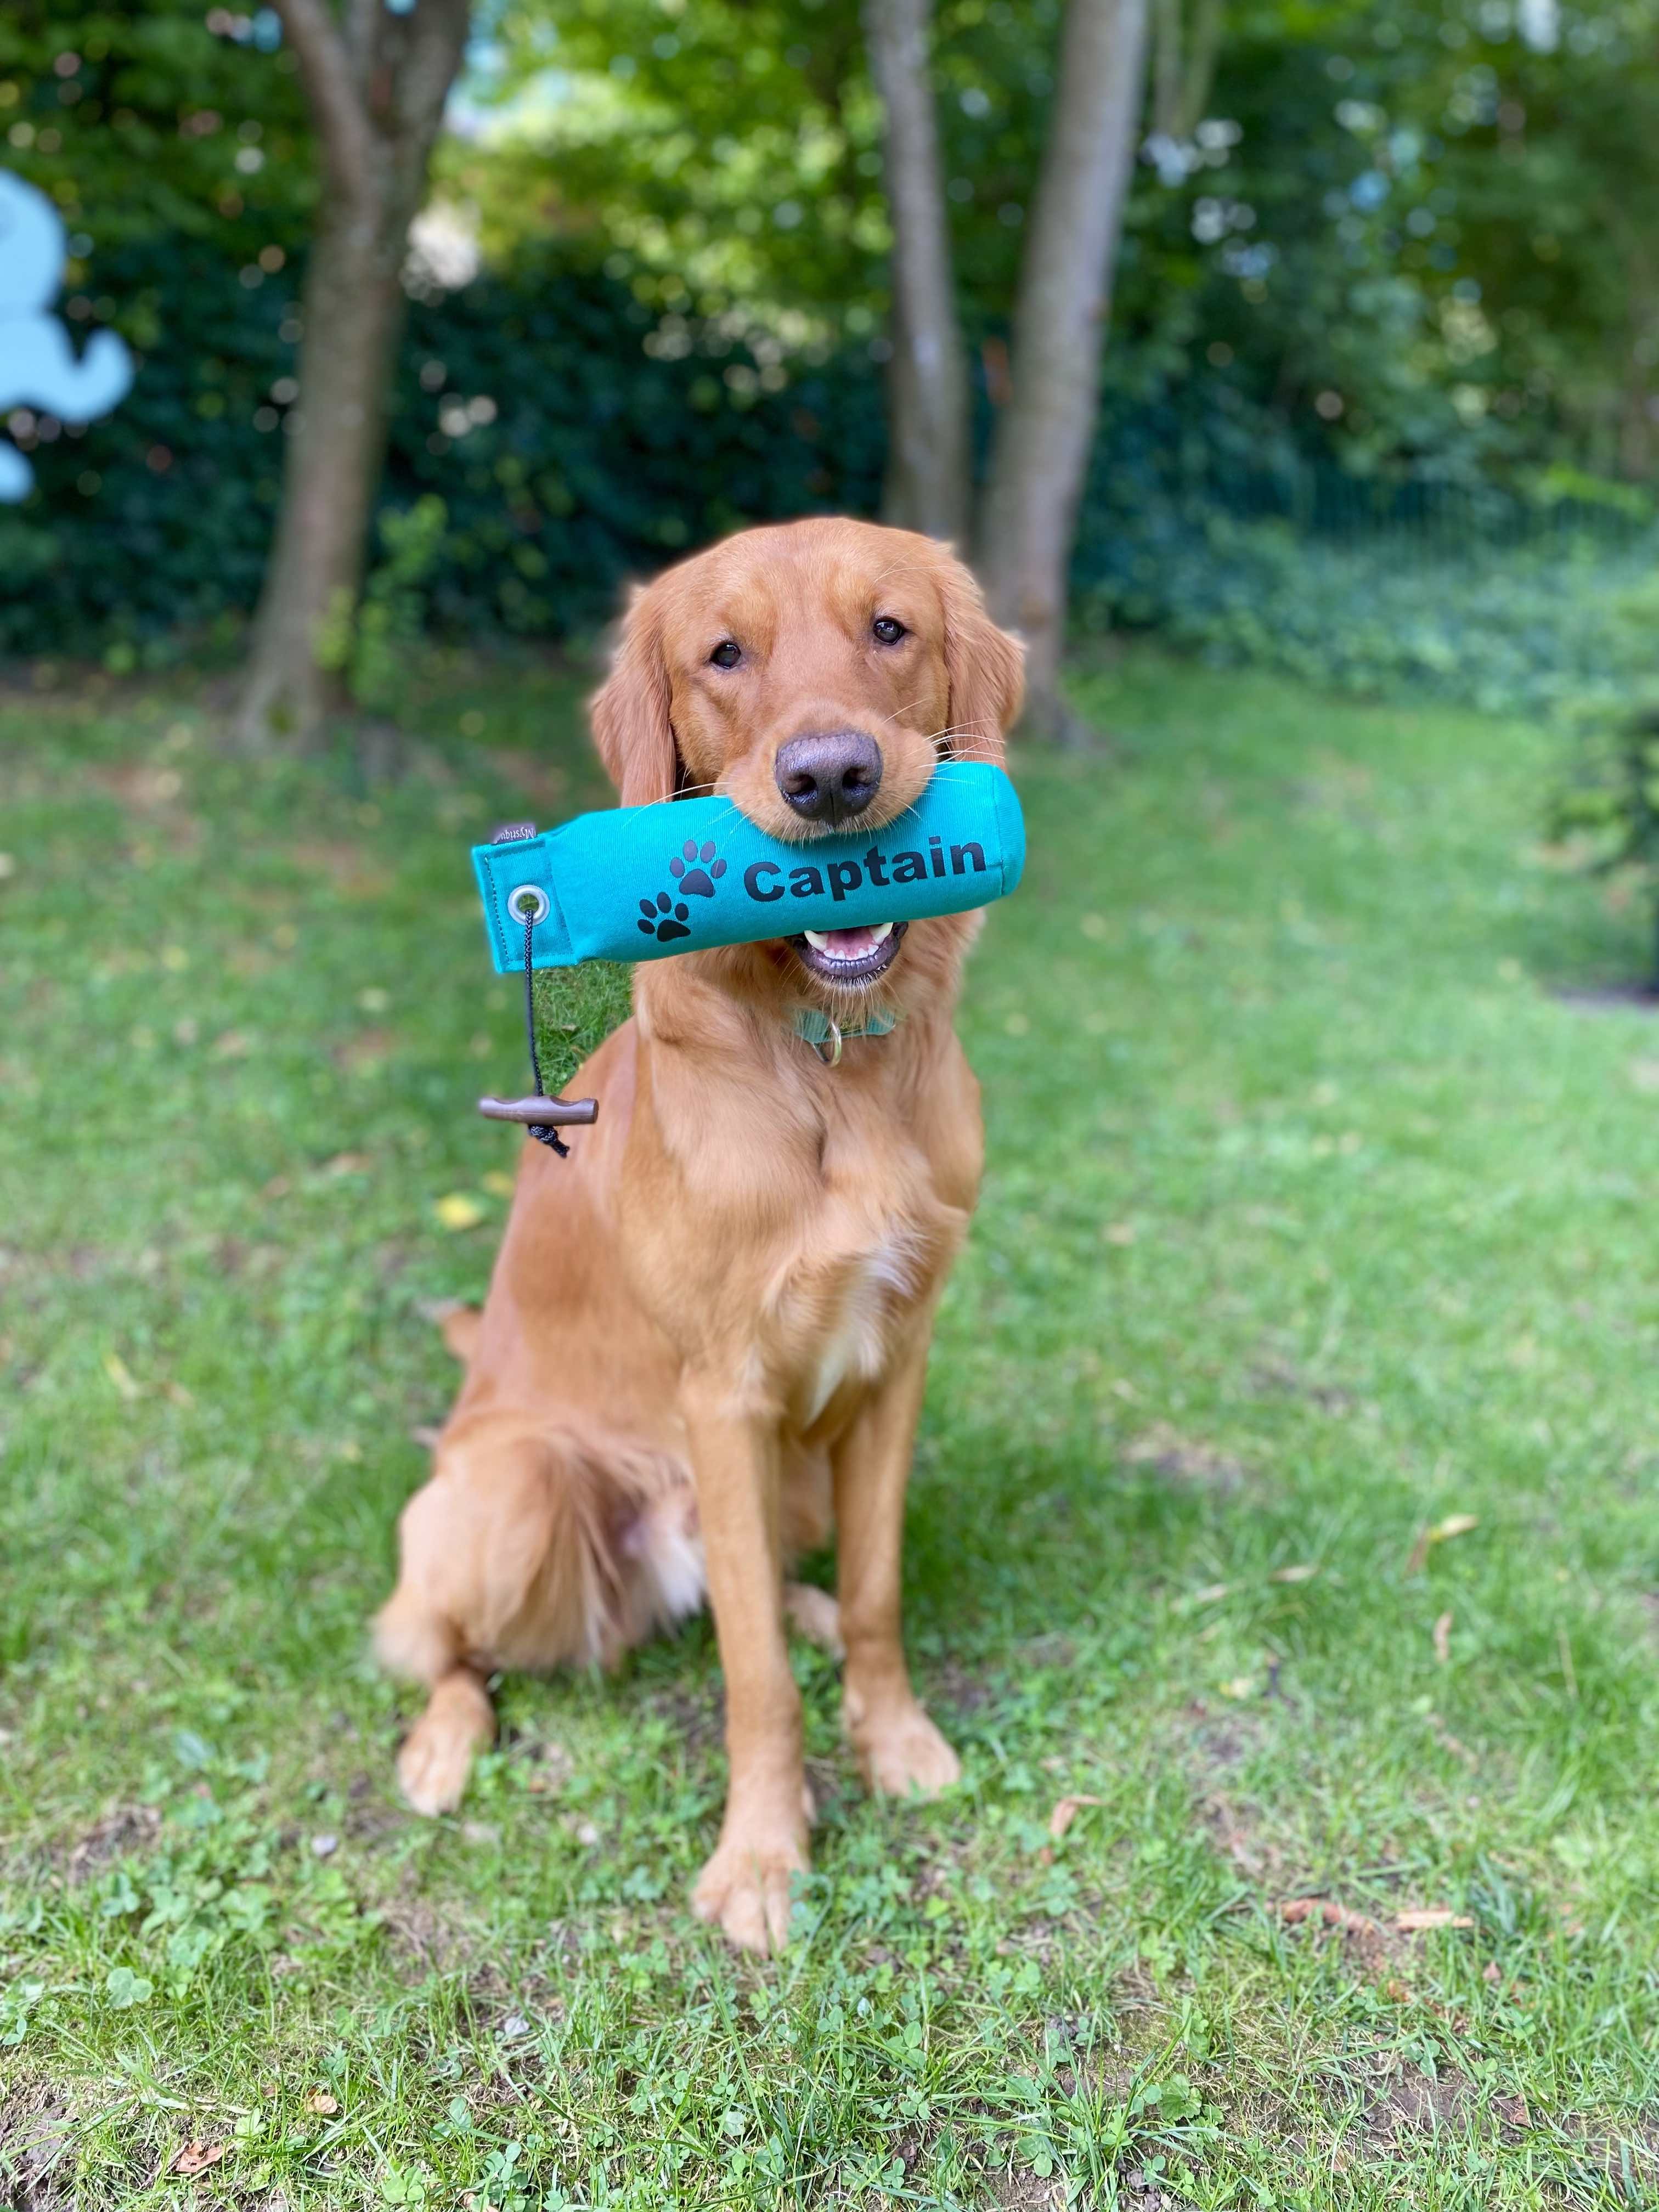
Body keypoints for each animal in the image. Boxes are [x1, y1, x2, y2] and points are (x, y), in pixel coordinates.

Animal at [375, 517, 1024, 1953]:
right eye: (724, 655)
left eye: (890, 629)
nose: (831, 778)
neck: (832, 1067)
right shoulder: (724, 1394)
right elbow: (753, 1679)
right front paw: (764, 1860)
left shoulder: (896, 1359)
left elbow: (881, 1594)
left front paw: (894, 1741)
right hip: (517, 1492)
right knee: (440, 1645)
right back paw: (442, 1744)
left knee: (767, 1585)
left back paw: (809, 1607)